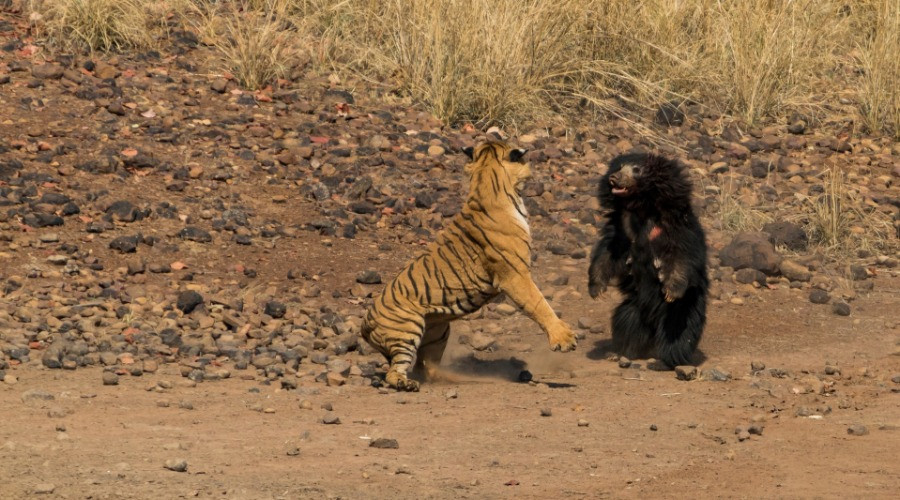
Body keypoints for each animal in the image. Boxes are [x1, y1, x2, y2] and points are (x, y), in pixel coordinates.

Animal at [360, 140, 577, 391]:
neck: (486, 178)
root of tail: (364, 323)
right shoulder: (515, 276)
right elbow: (539, 304)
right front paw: (564, 339)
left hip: (438, 331)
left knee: (427, 369)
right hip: (408, 329)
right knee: (394, 372)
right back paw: (407, 385)